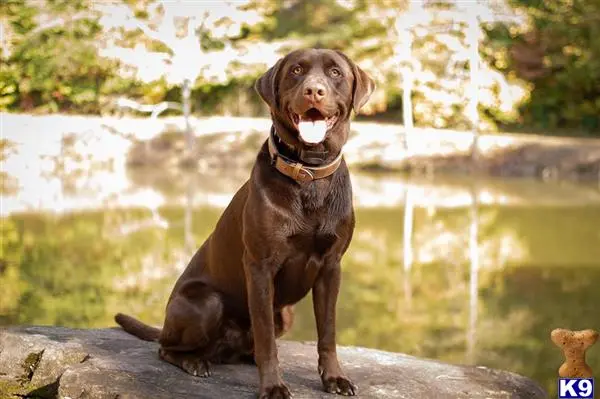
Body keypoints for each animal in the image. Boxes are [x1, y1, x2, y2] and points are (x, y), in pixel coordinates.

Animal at [114, 49, 372, 399]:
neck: (308, 174)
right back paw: (195, 362)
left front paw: (334, 378)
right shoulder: (260, 266)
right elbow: (266, 340)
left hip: (285, 314)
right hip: (206, 304)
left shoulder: (331, 267)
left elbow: (328, 333)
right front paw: (273, 385)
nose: (313, 91)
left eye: (335, 73)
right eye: (296, 70)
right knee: (168, 349)